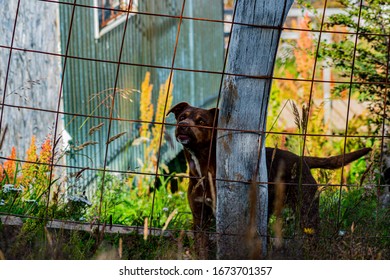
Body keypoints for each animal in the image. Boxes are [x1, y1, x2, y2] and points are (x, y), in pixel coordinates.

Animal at [166, 101, 370, 248]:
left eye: (202, 121)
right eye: (182, 117)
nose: (182, 125)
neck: (204, 166)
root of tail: (301, 159)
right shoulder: (200, 218)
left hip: (307, 211)